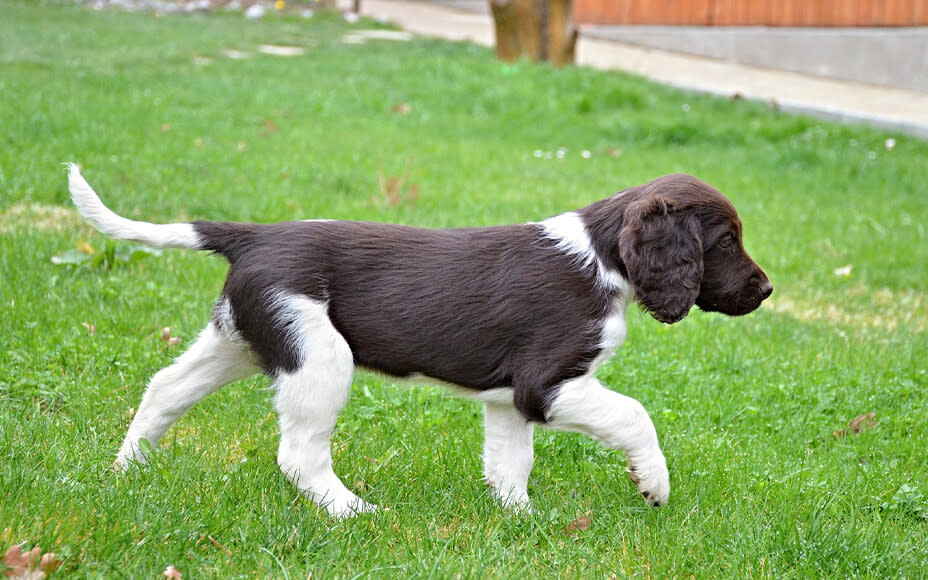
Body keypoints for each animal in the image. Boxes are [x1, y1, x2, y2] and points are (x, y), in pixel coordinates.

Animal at [69, 163, 772, 516]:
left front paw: (519, 520)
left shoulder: (508, 398)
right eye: (726, 241)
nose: (766, 290)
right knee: (299, 453)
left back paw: (124, 472)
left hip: (242, 339)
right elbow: (634, 415)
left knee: (164, 389)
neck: (601, 259)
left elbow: (510, 461)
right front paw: (653, 484)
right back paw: (351, 510)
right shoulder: (547, 383)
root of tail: (255, 235)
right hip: (318, 354)